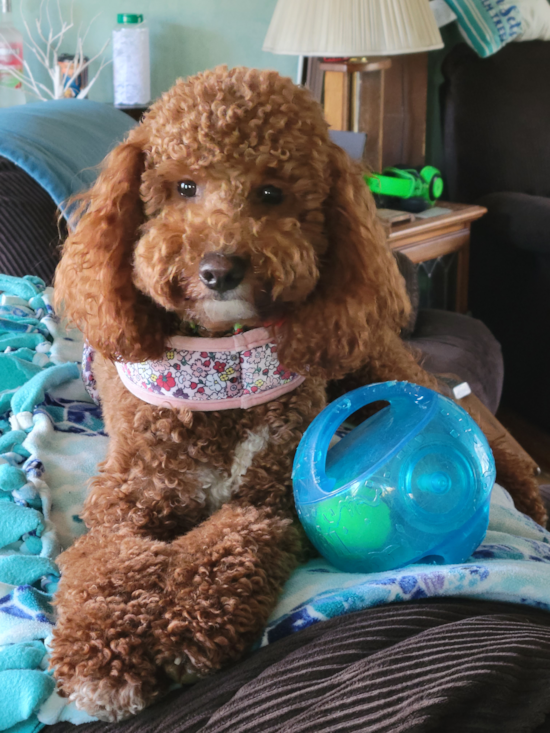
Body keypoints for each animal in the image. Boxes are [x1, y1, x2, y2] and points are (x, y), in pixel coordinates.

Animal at [50, 66, 548, 716]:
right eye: (184, 187)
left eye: (271, 193)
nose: (219, 269)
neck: (223, 367)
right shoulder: (126, 501)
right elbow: (104, 567)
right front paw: (104, 656)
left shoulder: (268, 496)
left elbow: (225, 545)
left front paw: (186, 627)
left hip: (377, 365)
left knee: (472, 419)